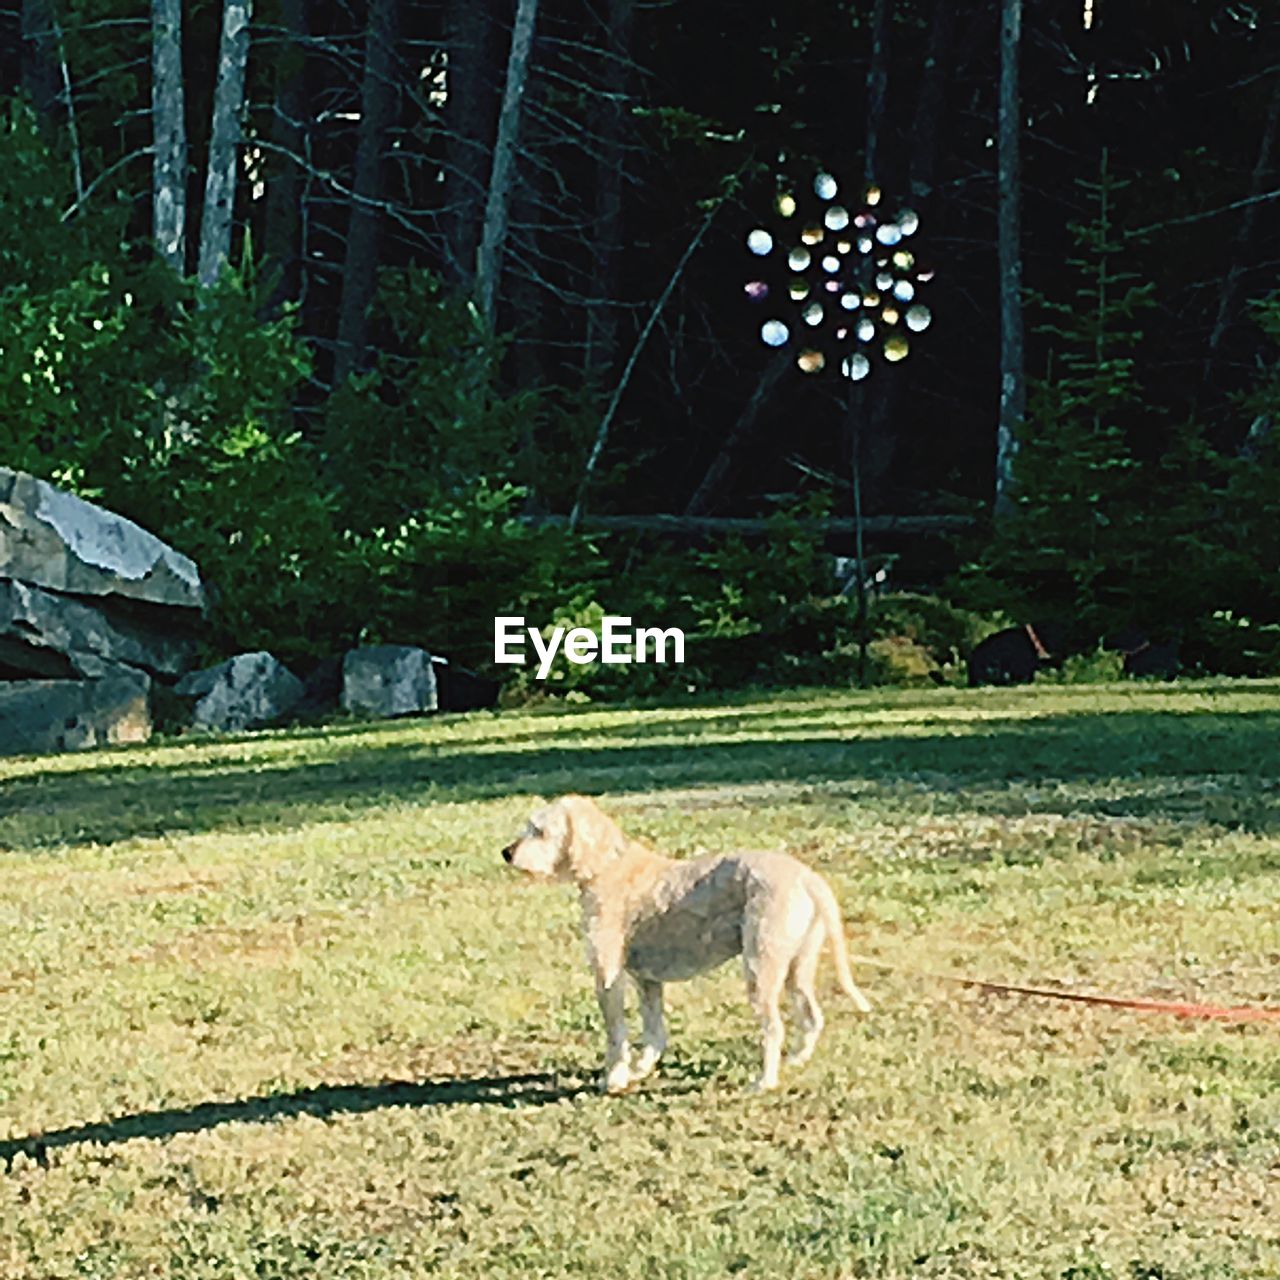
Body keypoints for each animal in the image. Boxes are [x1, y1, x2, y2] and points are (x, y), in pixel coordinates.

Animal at [499, 788, 870, 1090]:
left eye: (539, 831)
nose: (506, 852)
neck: (608, 865)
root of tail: (807, 877)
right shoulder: (647, 980)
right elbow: (654, 1032)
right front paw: (640, 1070)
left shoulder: (608, 974)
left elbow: (616, 1033)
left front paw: (614, 1078)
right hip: (797, 966)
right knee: (812, 1017)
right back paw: (793, 1061)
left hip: (761, 966)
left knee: (774, 1028)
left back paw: (764, 1082)